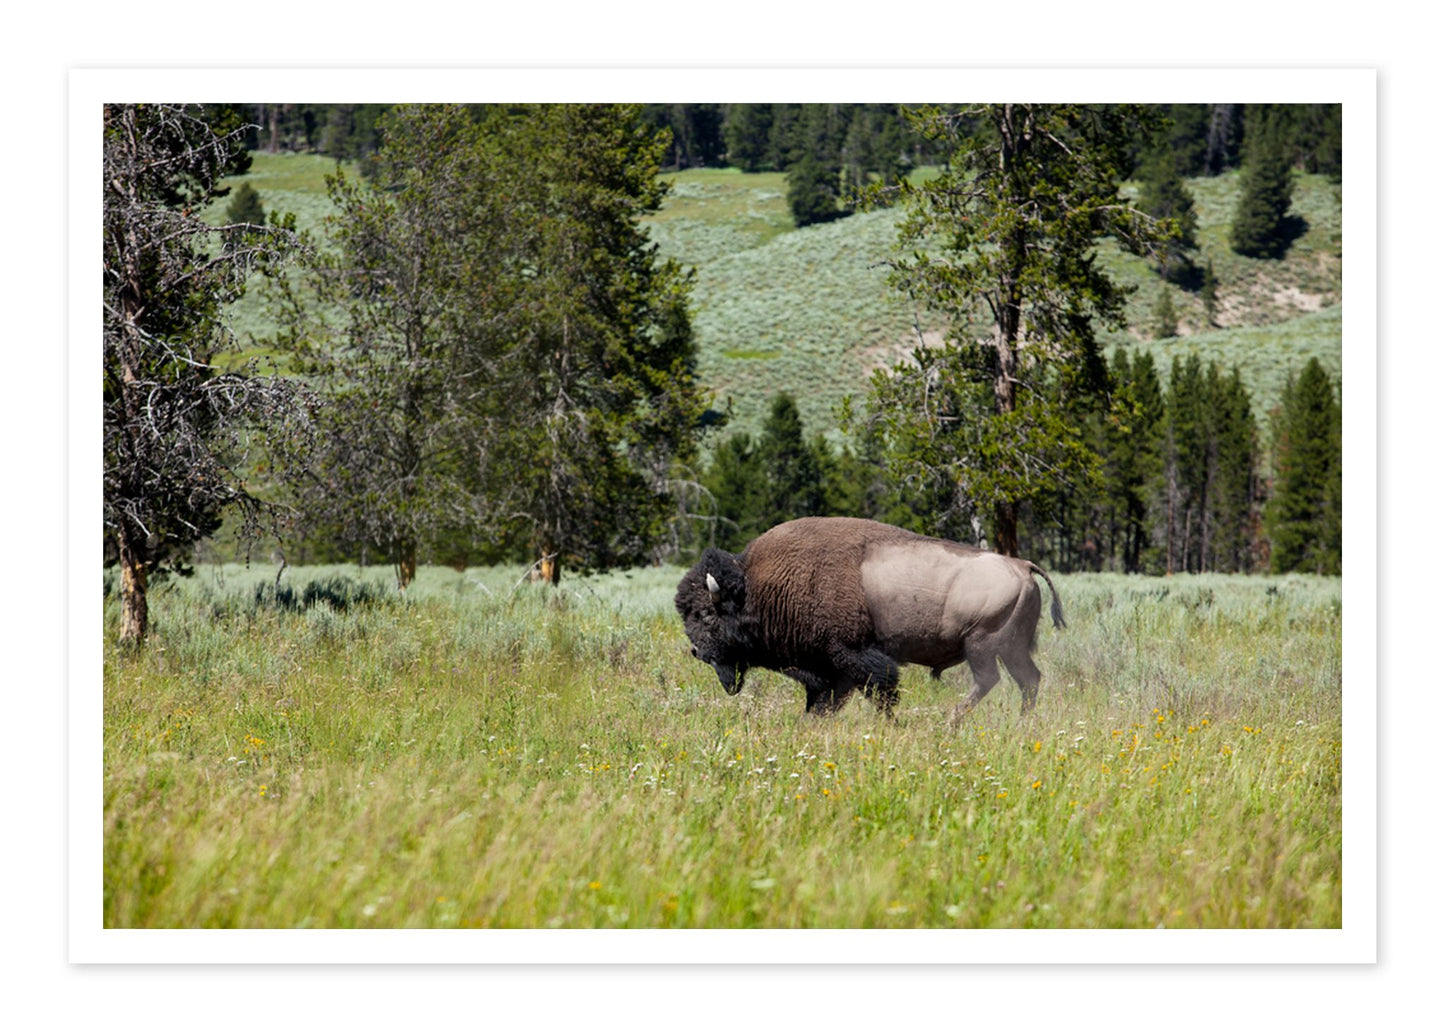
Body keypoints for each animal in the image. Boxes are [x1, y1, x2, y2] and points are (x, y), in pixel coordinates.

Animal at [674, 517, 1064, 718]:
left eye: (706, 614)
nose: (696, 651)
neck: (757, 586)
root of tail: (1022, 565)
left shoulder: (852, 656)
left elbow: (880, 691)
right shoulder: (829, 671)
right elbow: (823, 703)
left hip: (982, 645)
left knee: (989, 681)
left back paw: (951, 721)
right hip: (1011, 648)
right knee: (1028, 680)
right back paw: (1020, 722)